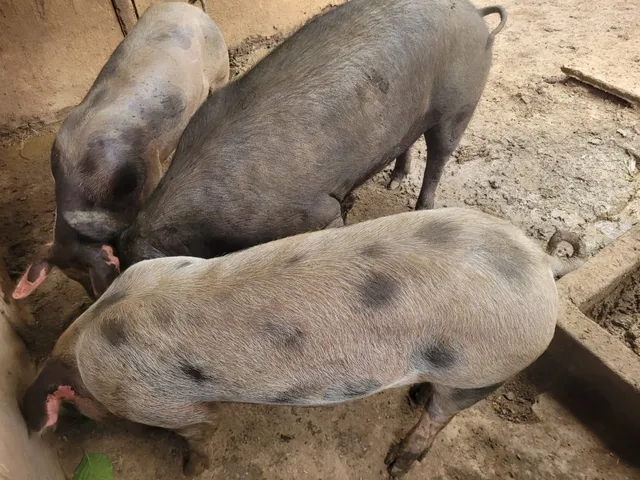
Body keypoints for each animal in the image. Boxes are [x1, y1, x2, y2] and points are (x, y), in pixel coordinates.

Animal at [12, 1, 230, 300]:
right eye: (70, 276)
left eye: (87, 272)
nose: (93, 298)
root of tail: (186, 8)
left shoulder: (147, 166)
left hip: (221, 64)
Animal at [21, 208, 584, 477]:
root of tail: (541, 263)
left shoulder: (168, 406)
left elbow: (201, 432)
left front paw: (190, 470)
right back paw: (414, 396)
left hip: (486, 361)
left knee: (442, 415)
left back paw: (395, 465)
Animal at [69, 0, 507, 285]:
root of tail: (475, 15)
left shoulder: (313, 212)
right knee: (410, 144)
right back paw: (394, 180)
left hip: (461, 101)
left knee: (440, 156)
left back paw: (420, 206)